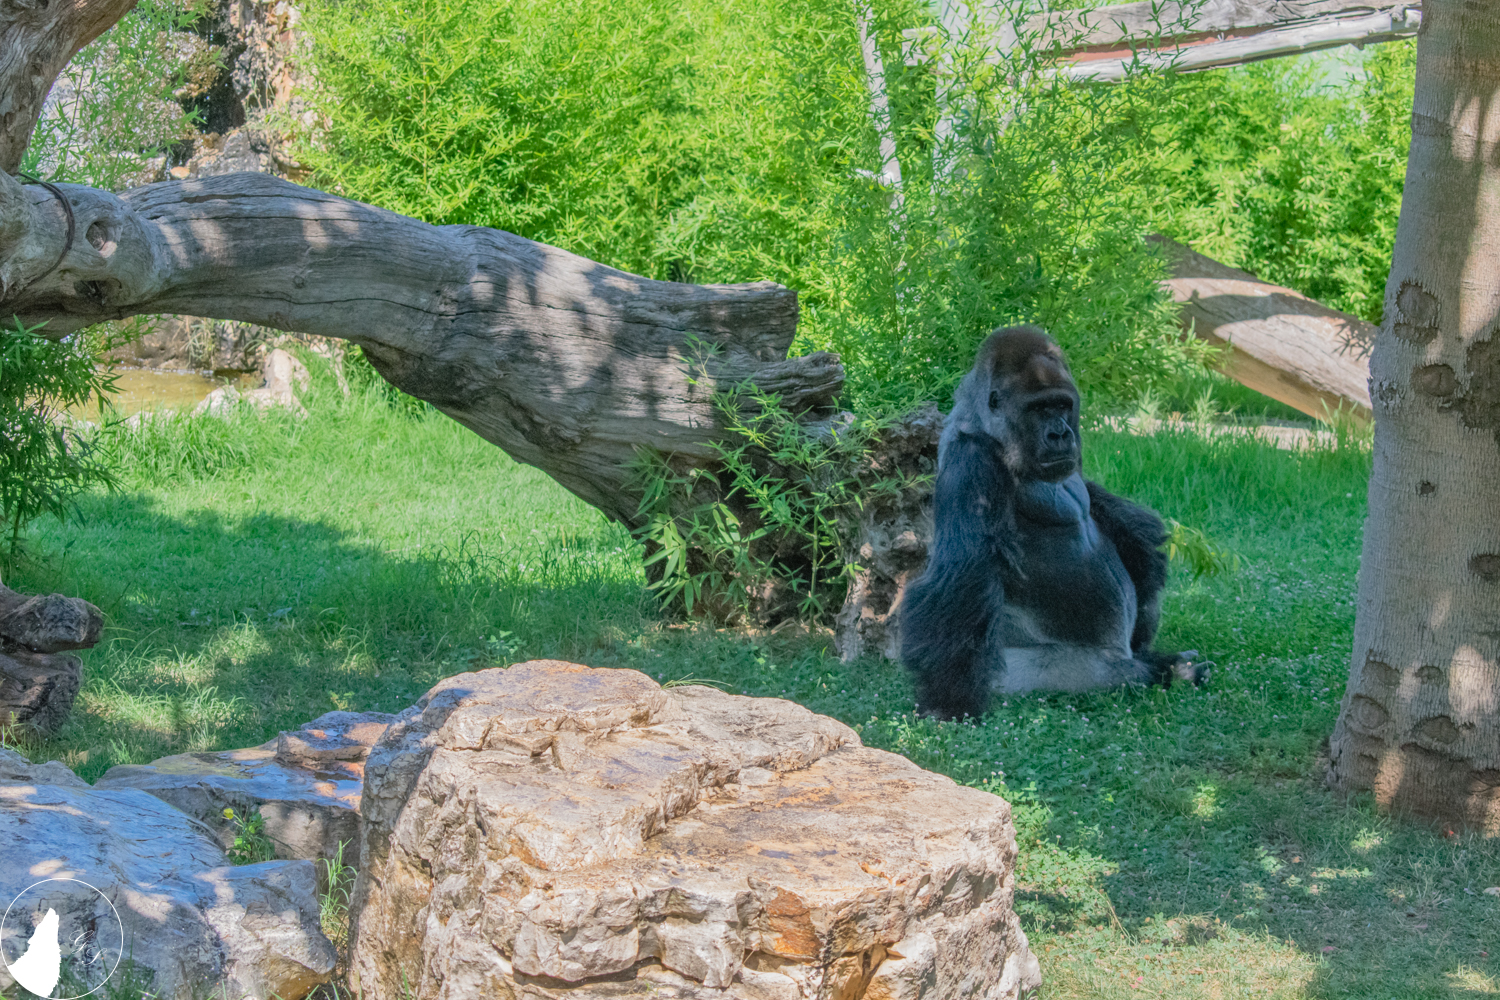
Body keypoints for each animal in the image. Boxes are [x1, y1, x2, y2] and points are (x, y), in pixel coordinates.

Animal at [899, 325, 1210, 719]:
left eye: (1061, 405)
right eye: (1038, 409)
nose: (1060, 433)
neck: (988, 426)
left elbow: (1104, 507)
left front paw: (1140, 543)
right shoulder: (971, 463)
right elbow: (962, 573)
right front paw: (948, 702)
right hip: (1014, 675)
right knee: (1109, 672)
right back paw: (1166, 672)